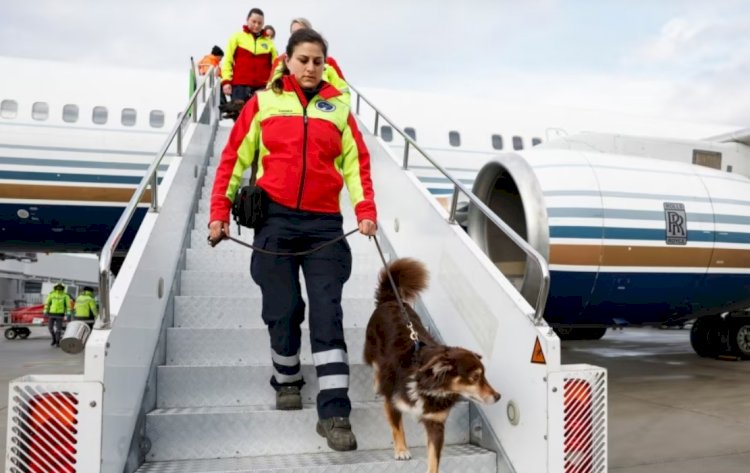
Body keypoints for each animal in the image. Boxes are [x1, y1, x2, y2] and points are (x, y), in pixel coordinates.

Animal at [366, 258, 502, 472]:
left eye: (485, 375)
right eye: (475, 377)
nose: (498, 396)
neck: (434, 387)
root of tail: (390, 299)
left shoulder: (435, 423)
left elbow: (433, 458)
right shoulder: (392, 402)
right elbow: (397, 427)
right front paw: (401, 450)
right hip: (372, 349)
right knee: (376, 368)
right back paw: (376, 383)